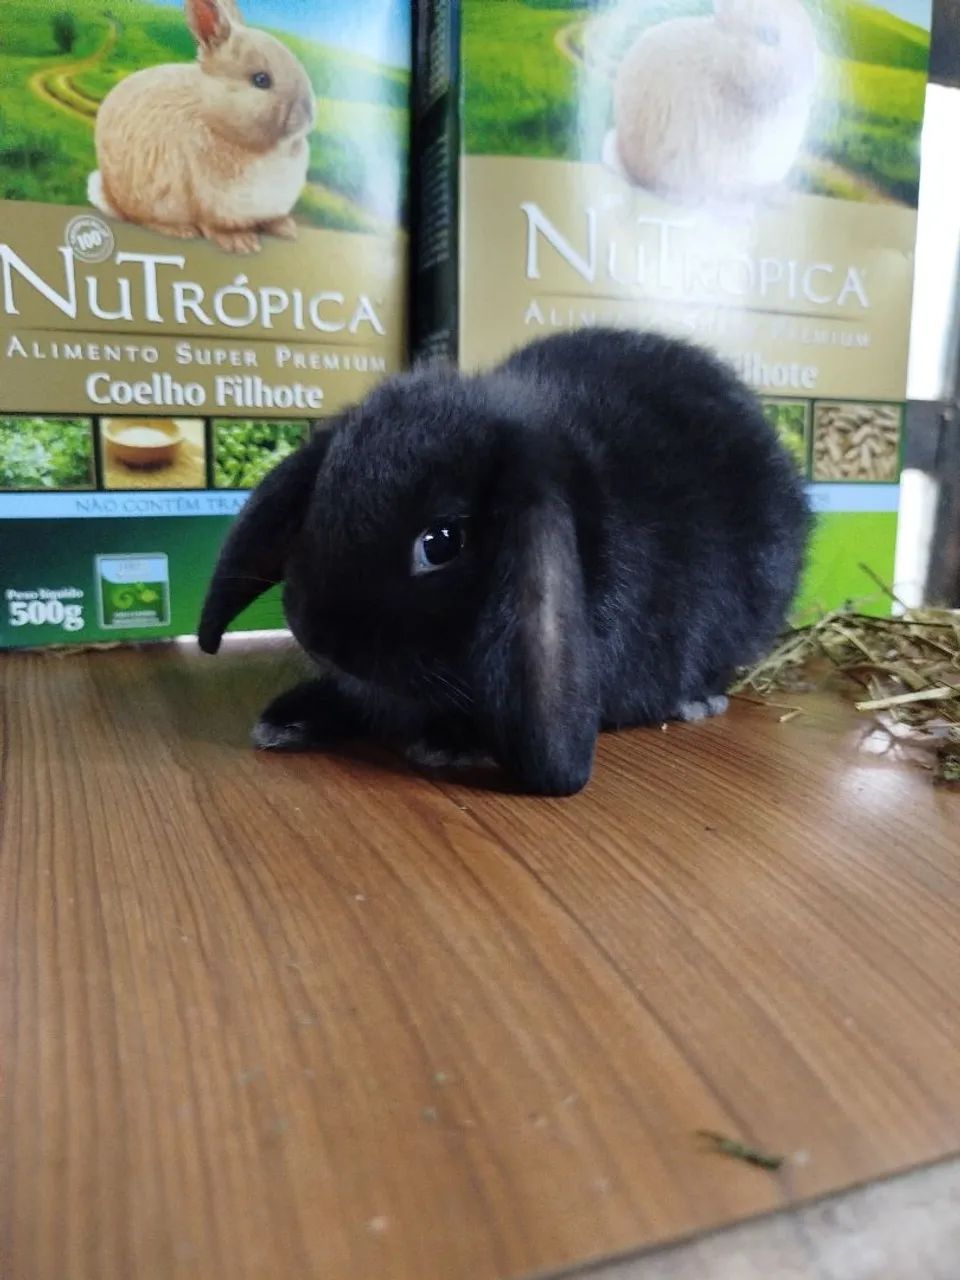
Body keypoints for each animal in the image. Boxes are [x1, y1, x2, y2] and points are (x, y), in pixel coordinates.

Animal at [88, 0, 316, 254]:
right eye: (261, 80)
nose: (308, 114)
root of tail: (108, 192)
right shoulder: (209, 200)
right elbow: (213, 225)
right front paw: (240, 242)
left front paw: (285, 228)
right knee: (139, 218)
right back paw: (180, 231)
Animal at [198, 328, 810, 796]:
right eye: (322, 496)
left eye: (441, 543)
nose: (321, 638)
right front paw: (287, 719)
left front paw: (450, 745)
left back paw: (698, 699)